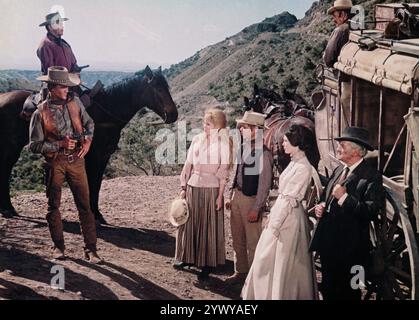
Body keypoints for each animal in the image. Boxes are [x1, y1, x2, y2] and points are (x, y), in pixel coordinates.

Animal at [0, 66, 179, 224]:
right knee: (5, 170)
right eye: (157, 88)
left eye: (167, 86)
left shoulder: (104, 156)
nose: (173, 115)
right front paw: (94, 214)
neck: (105, 113)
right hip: (11, 146)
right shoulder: (94, 156)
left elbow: (97, 184)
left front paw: (97, 213)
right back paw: (7, 208)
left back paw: (8, 208)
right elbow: (92, 183)